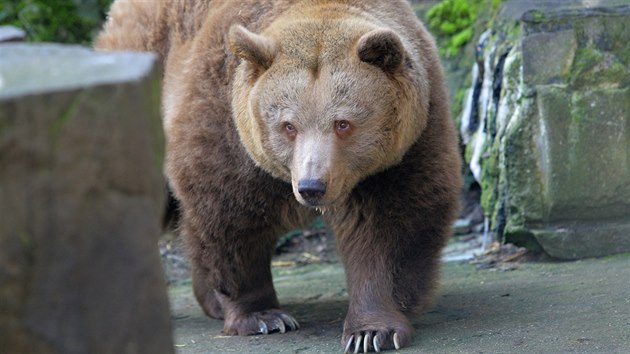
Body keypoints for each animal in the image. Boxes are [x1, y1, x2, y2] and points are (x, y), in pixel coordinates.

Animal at [99, 1, 464, 352]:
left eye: (343, 123)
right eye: (288, 125)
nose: (312, 186)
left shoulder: (404, 147)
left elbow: (389, 227)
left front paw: (373, 331)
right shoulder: (229, 128)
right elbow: (229, 216)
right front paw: (263, 317)